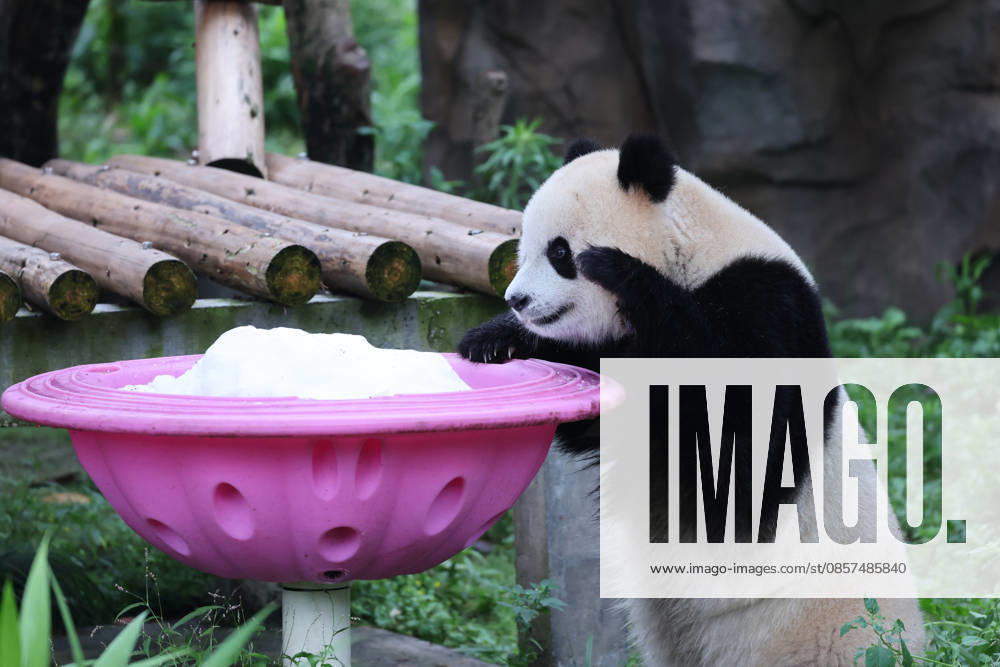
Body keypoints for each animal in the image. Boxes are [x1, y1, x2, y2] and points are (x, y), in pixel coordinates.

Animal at [459, 134, 924, 665]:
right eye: (523, 246)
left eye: (559, 252)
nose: (517, 301)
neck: (693, 250)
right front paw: (493, 342)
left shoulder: (768, 304)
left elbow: (744, 431)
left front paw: (619, 270)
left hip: (822, 628)